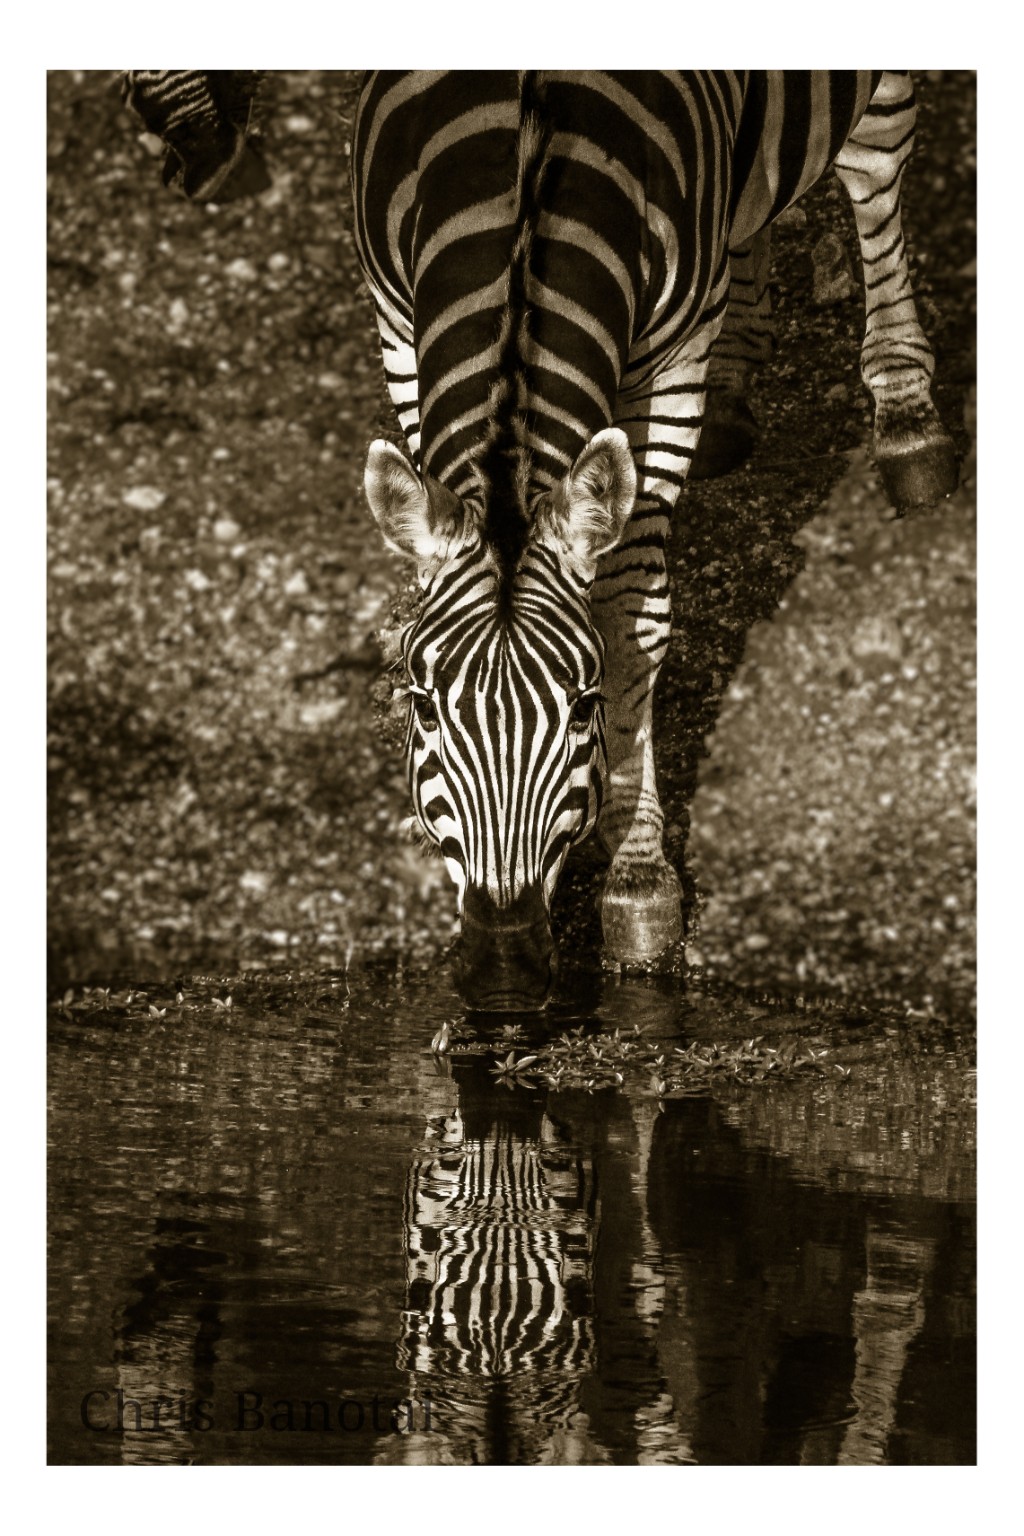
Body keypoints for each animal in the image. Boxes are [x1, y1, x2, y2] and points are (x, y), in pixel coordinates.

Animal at [353, 71, 957, 1010]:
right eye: (421, 708)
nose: (502, 970)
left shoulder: (671, 361)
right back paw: (739, 392)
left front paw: (639, 889)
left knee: (874, 168)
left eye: (585, 708)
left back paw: (908, 423)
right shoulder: (395, 316)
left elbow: (633, 611)